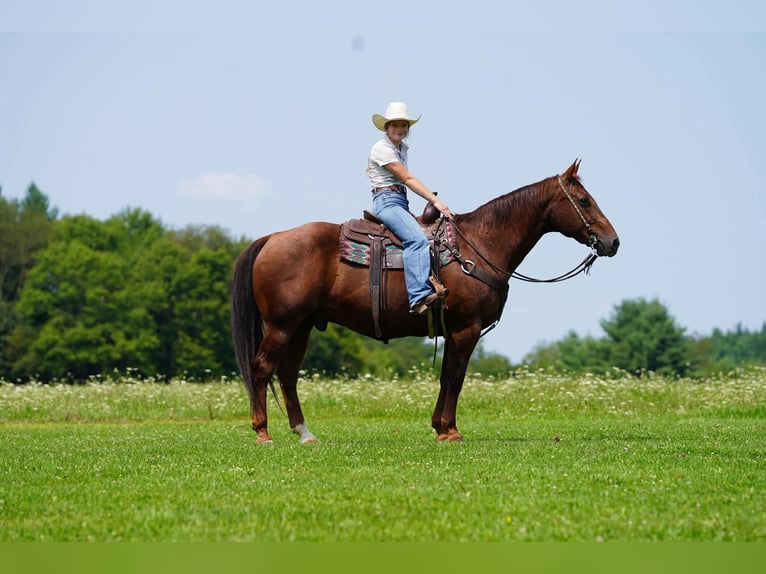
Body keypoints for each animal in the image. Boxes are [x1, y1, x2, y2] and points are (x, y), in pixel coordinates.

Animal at [230, 159, 619, 443]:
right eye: (584, 200)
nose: (612, 241)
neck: (476, 246)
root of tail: (272, 238)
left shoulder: (456, 332)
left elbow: (447, 378)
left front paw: (440, 426)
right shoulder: (466, 329)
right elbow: (454, 378)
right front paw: (450, 430)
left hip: (302, 326)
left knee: (287, 374)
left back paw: (304, 433)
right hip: (282, 325)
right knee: (262, 368)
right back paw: (263, 432)